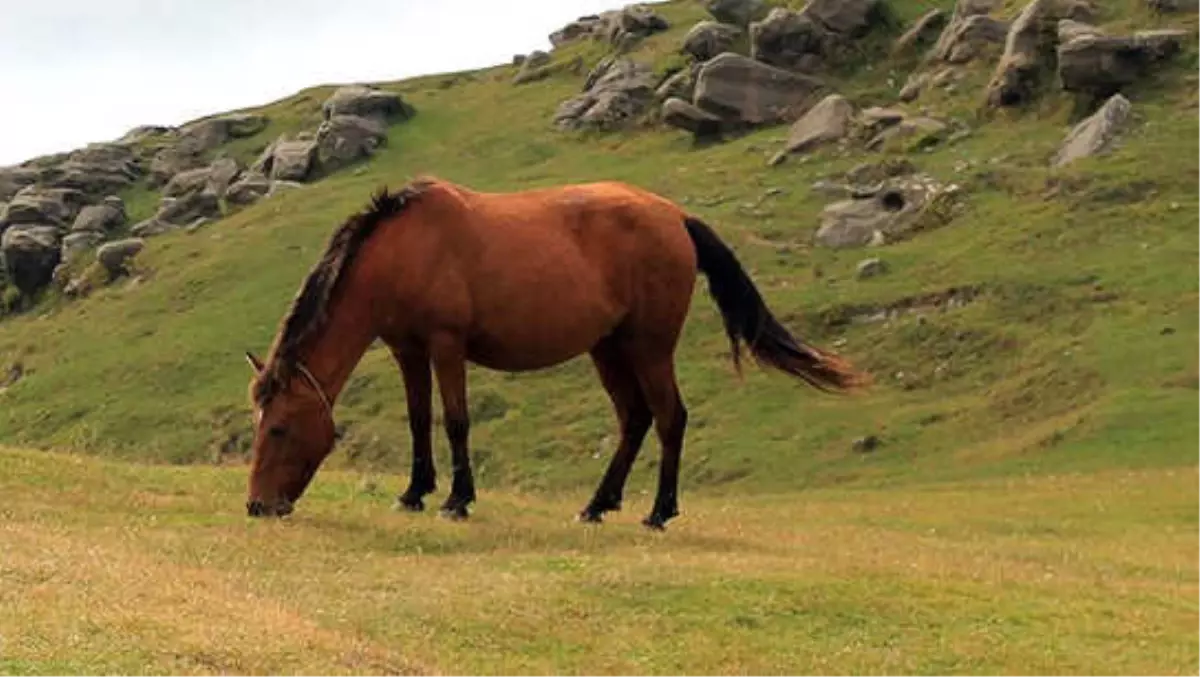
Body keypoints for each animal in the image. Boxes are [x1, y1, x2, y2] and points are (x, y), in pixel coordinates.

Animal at [238, 177, 868, 530]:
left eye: (279, 429)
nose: (258, 506)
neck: (403, 250)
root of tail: (674, 217)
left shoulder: (446, 345)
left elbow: (456, 421)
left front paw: (457, 500)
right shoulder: (407, 351)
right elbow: (420, 421)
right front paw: (415, 493)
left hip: (649, 347)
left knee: (669, 418)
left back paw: (658, 512)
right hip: (608, 350)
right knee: (635, 419)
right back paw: (597, 504)